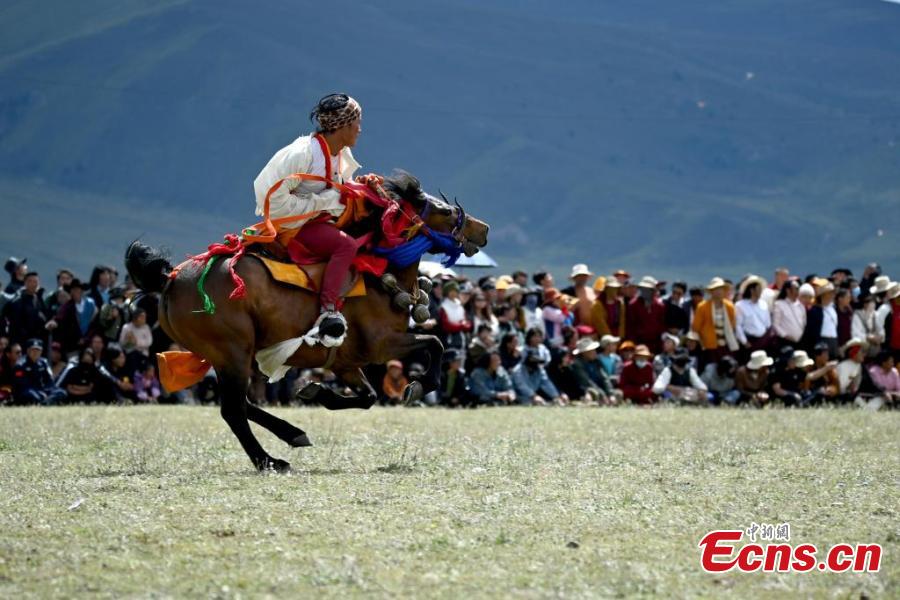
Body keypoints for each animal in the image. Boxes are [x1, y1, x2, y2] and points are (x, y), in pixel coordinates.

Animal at [124, 173, 488, 474]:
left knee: (242, 404)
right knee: (233, 410)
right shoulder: (384, 344)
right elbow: (435, 344)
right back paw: (269, 461)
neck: (379, 273)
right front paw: (419, 385)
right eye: (444, 211)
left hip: (228, 357)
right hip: (232, 351)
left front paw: (316, 391)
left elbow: (368, 396)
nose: (483, 229)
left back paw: (292, 433)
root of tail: (170, 279)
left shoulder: (346, 362)